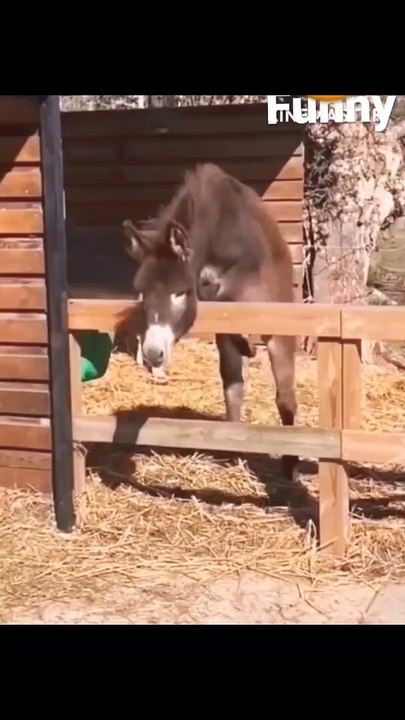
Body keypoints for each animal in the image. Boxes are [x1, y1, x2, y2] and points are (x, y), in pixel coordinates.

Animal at [121, 162, 298, 481]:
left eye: (180, 292)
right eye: (141, 291)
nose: (153, 353)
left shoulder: (276, 323)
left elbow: (285, 397)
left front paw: (291, 464)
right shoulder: (224, 321)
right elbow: (233, 388)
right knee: (234, 388)